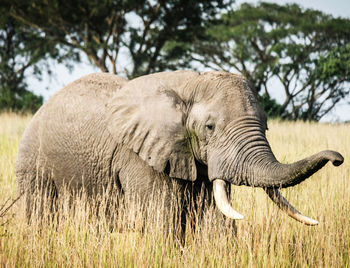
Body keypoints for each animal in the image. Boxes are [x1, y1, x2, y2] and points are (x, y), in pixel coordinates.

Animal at [15, 70, 344, 232]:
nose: (338, 158)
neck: (188, 84)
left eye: (265, 127)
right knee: (38, 217)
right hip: (33, 160)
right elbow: (162, 222)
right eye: (210, 127)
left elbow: (215, 220)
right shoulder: (141, 155)